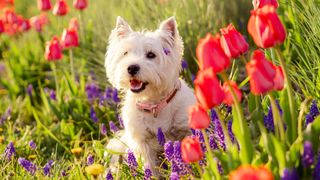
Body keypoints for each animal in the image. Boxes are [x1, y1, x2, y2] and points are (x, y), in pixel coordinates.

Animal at [105, 16, 195, 176]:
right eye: (125, 53)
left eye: (151, 55)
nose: (132, 67)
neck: (153, 104)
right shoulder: (142, 142)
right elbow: (150, 168)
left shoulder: (185, 130)